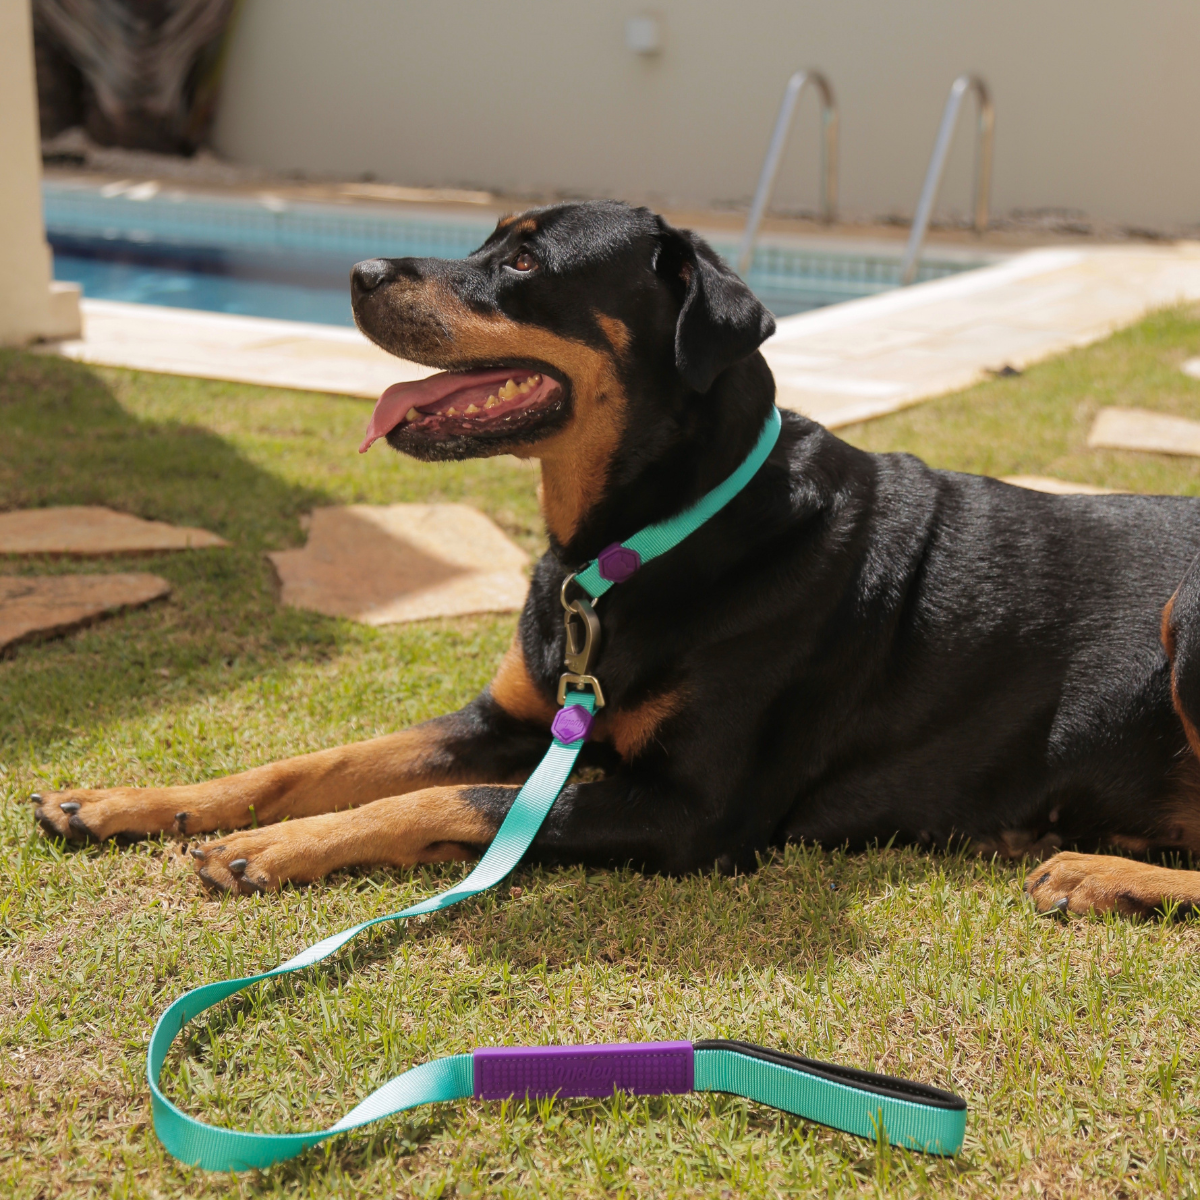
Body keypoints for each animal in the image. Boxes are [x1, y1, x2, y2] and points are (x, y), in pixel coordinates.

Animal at [28, 201, 1200, 912]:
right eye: (484, 241)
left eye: (526, 263)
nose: (358, 272)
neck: (627, 544)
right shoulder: (512, 716)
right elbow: (317, 762)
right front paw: (130, 801)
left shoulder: (692, 811)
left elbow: (444, 804)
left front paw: (273, 849)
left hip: (1184, 619)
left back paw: (1094, 870)